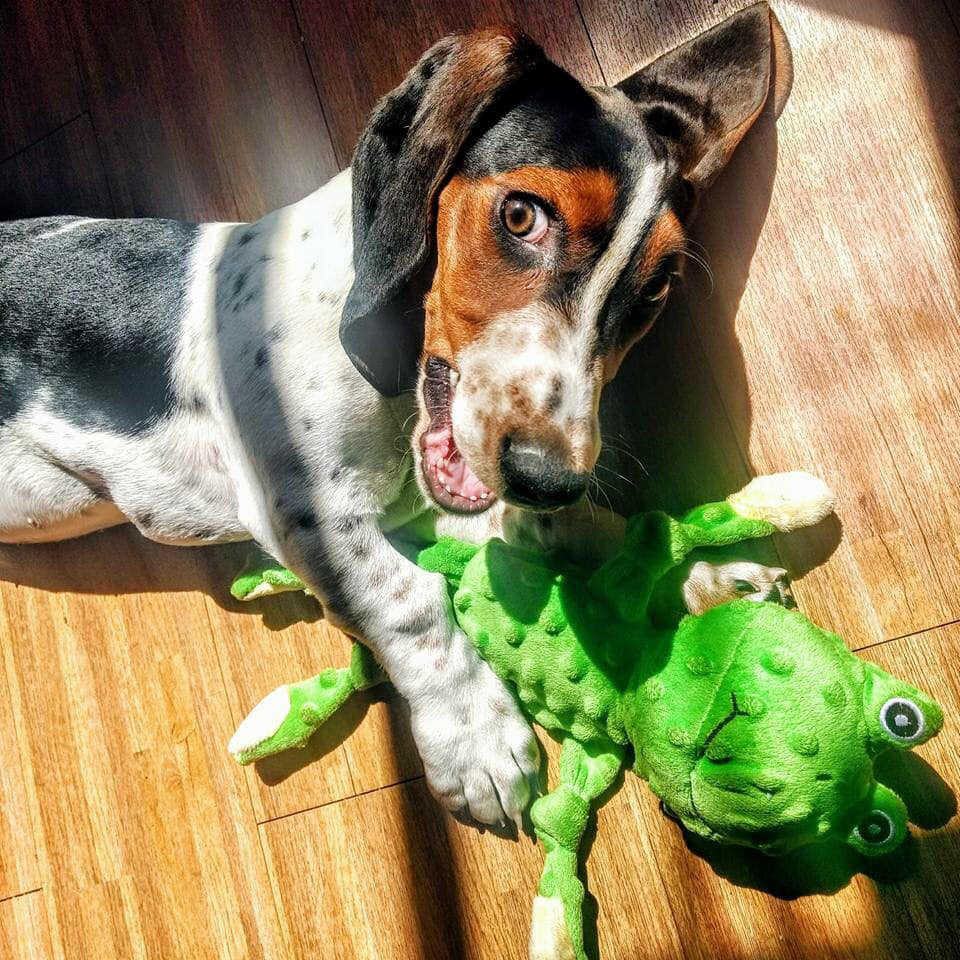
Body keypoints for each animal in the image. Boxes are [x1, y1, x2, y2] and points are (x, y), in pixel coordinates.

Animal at [3, 5, 792, 824]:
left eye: (658, 289)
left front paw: (693, 575)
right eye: (521, 216)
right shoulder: (310, 510)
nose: (548, 479)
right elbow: (410, 602)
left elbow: (559, 532)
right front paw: (478, 740)